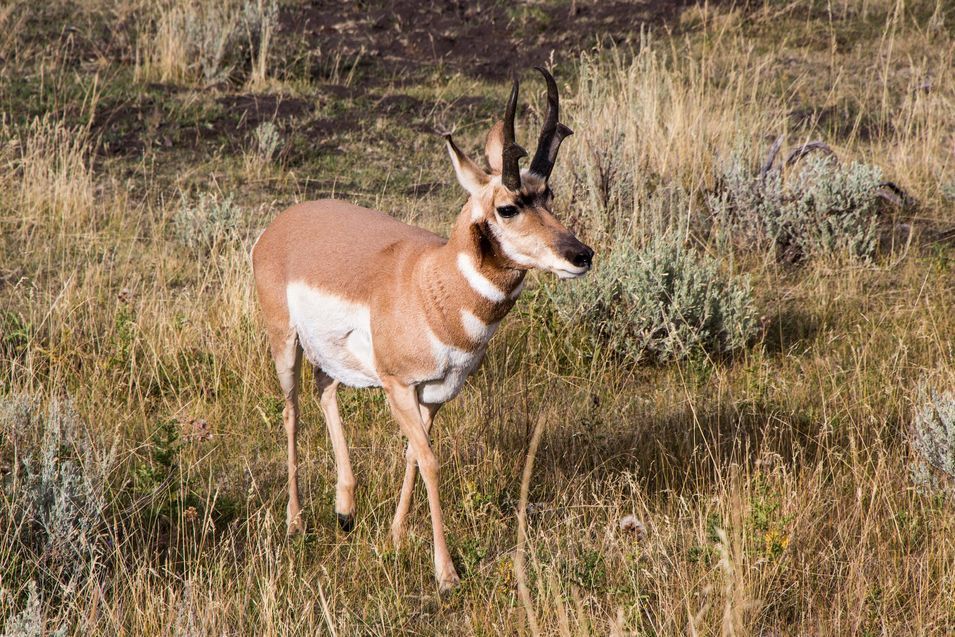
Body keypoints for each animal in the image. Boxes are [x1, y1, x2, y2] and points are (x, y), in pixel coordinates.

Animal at [254, 67, 592, 588]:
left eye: (548, 195)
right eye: (508, 207)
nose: (581, 255)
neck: (431, 282)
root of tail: (281, 224)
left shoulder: (434, 393)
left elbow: (415, 455)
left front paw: (395, 535)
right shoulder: (397, 385)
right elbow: (431, 460)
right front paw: (446, 572)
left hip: (330, 355)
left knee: (324, 389)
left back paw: (345, 510)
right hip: (284, 343)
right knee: (292, 411)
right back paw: (295, 522)